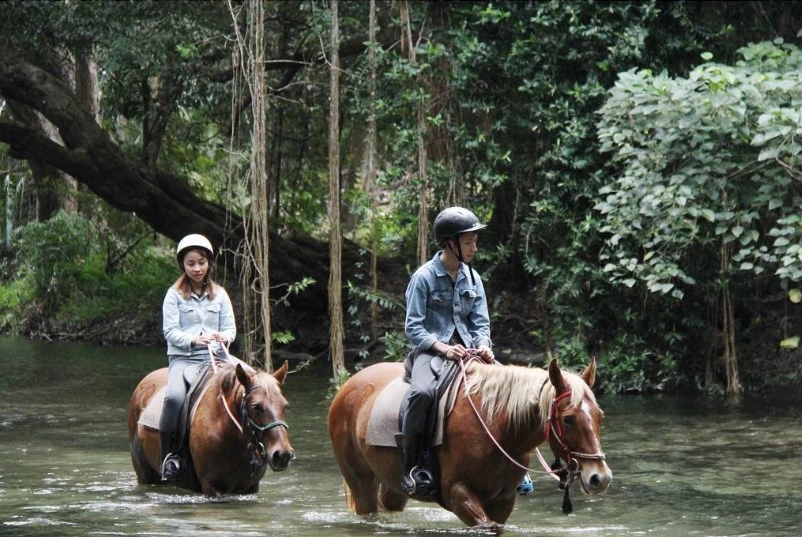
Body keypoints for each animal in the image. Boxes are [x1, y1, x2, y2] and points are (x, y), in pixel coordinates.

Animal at [128, 358, 294, 496]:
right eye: (256, 407)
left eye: (285, 405)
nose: (283, 454)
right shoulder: (212, 487)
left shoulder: (251, 487)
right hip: (145, 475)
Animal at [328, 358, 608, 524]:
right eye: (568, 419)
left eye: (599, 414)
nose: (600, 478)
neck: (497, 428)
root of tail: (348, 386)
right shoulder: (457, 492)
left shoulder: (503, 500)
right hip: (359, 480)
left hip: (394, 483)